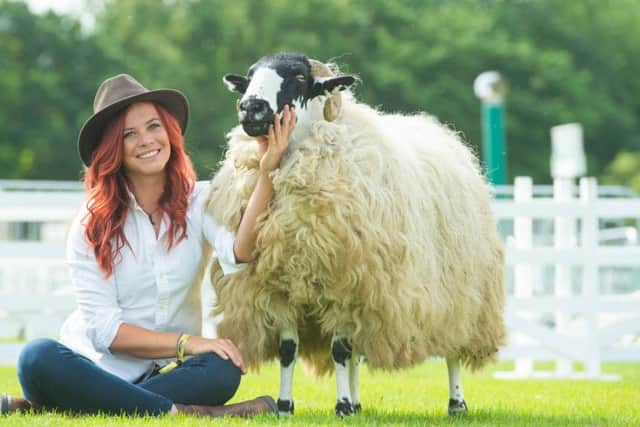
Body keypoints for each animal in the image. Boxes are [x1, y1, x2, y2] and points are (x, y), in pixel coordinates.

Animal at [205, 53, 504, 418]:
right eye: (249, 77)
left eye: (299, 77)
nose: (251, 108)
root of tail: (441, 132)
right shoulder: (282, 287)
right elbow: (290, 350)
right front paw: (287, 406)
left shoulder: (344, 286)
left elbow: (339, 351)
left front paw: (342, 406)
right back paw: (360, 401)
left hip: (463, 293)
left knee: (453, 350)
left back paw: (456, 402)